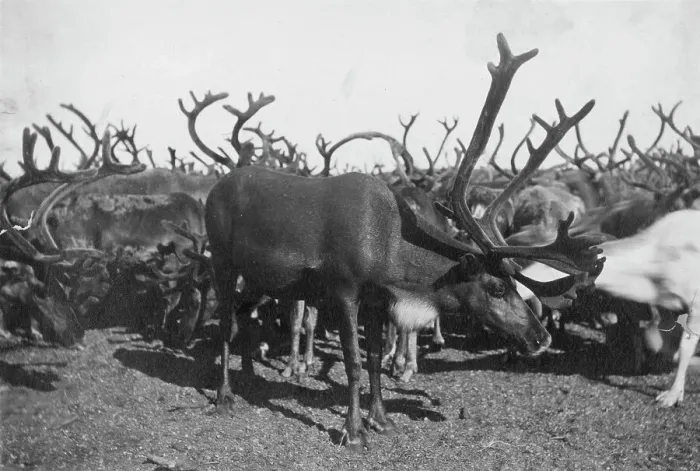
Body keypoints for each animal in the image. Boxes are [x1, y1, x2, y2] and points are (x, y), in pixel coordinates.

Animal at [201, 33, 605, 451]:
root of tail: (216, 187)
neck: (391, 252)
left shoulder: (378, 298)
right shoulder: (345, 289)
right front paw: (354, 431)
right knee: (224, 323)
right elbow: (354, 361)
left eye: (512, 281)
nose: (541, 338)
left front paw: (381, 419)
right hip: (221, 260)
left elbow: (374, 358)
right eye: (495, 288)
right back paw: (224, 396)